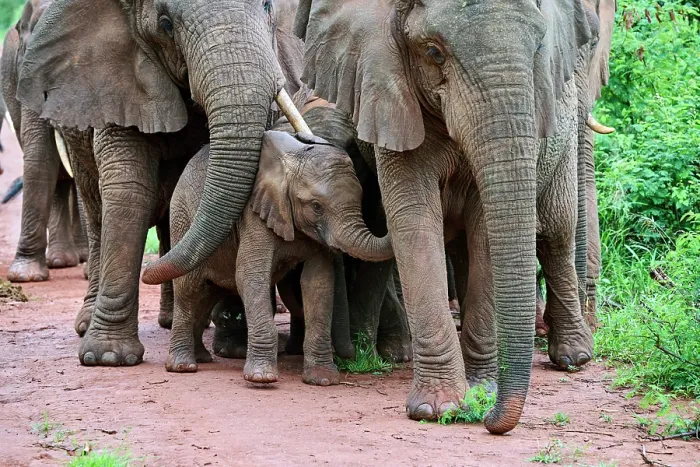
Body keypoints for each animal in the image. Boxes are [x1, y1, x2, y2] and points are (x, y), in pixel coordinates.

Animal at [16, 0, 311, 367]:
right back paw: (90, 324)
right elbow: (128, 188)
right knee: (96, 211)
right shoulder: (117, 84)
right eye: (166, 24)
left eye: (268, 6)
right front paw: (107, 357)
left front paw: (234, 347)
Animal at [167, 129, 392, 385]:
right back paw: (183, 366)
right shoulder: (254, 216)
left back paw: (201, 357)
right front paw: (261, 378)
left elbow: (318, 282)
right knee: (189, 288)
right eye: (316, 206)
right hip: (182, 217)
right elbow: (250, 276)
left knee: (208, 292)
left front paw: (323, 380)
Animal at [295, 0, 599, 433]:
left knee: (556, 232)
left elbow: (485, 225)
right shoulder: (391, 92)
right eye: (433, 52)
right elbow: (414, 218)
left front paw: (482, 390)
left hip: (566, 128)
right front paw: (438, 408)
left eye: (539, 48)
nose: (490, 420)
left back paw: (573, 357)